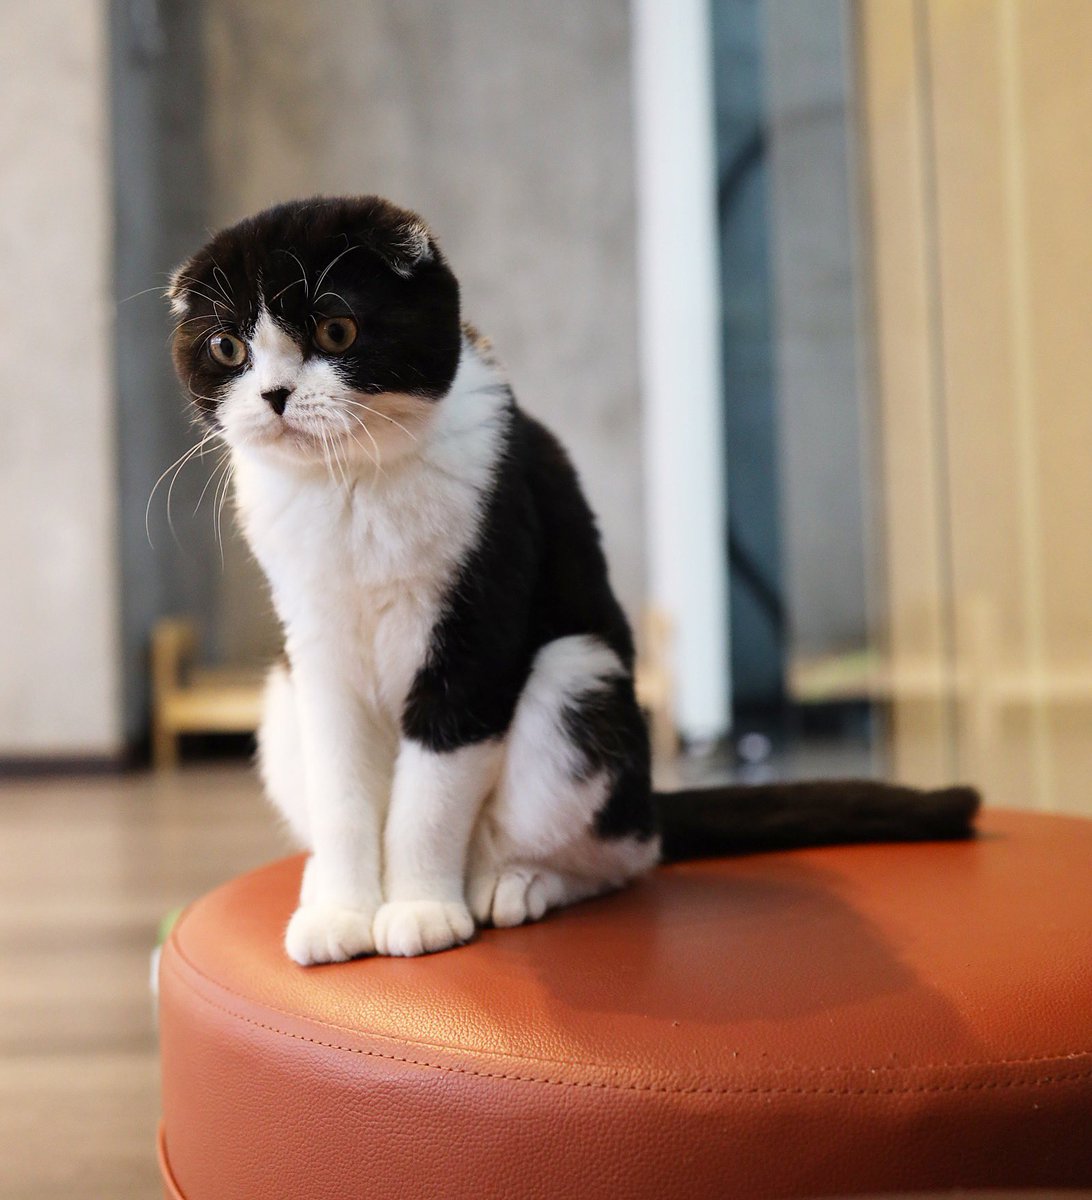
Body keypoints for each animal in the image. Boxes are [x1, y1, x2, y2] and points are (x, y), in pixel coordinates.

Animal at [169, 196, 984, 964]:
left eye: (336, 331)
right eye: (228, 346)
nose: (274, 394)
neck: (355, 487)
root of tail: (650, 800)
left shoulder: (482, 617)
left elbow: (430, 793)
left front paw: (420, 908)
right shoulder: (316, 645)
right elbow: (341, 789)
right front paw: (343, 912)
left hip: (578, 682)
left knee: (619, 855)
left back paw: (512, 883)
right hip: (280, 698)